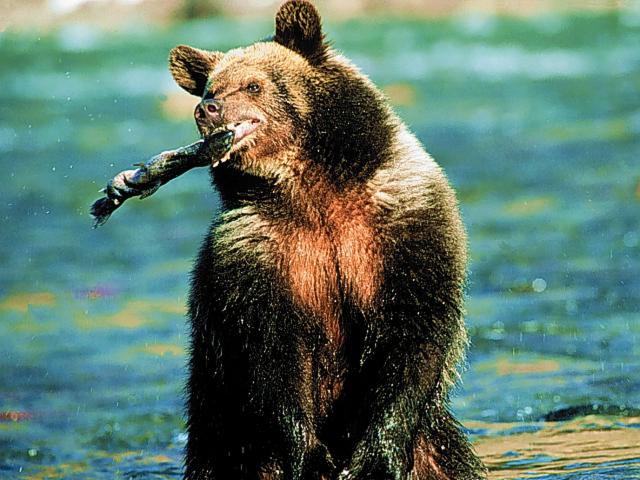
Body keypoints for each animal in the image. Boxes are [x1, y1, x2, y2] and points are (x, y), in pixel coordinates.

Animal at [168, 1, 486, 479]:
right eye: (211, 87)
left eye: (253, 84)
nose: (208, 109)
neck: (313, 190)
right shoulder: (257, 251)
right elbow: (271, 353)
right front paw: (313, 456)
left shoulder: (401, 224)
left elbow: (413, 330)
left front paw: (374, 456)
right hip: (223, 430)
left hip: (432, 447)